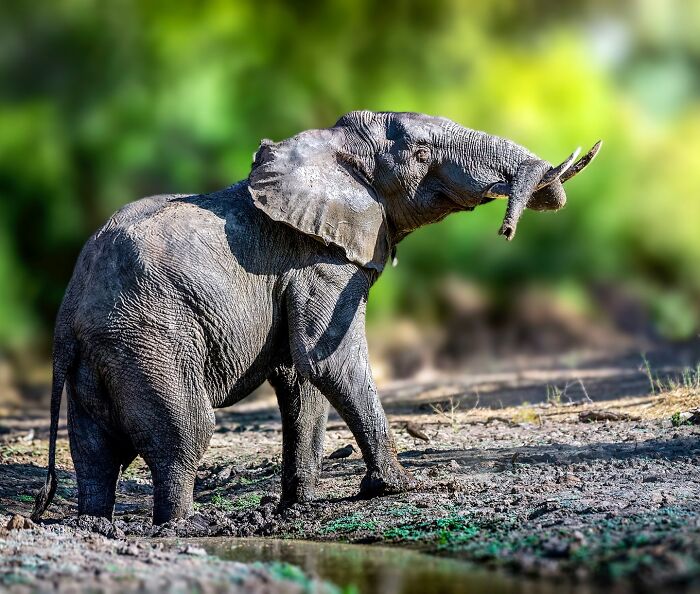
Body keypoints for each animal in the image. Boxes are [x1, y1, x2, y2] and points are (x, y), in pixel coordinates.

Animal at [32, 110, 600, 524]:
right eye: (419, 154)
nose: (506, 231)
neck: (326, 146)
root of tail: (67, 317)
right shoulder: (318, 262)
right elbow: (327, 362)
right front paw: (394, 487)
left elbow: (300, 380)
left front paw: (297, 507)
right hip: (149, 337)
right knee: (186, 431)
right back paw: (179, 525)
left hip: (102, 355)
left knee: (94, 449)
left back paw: (96, 523)